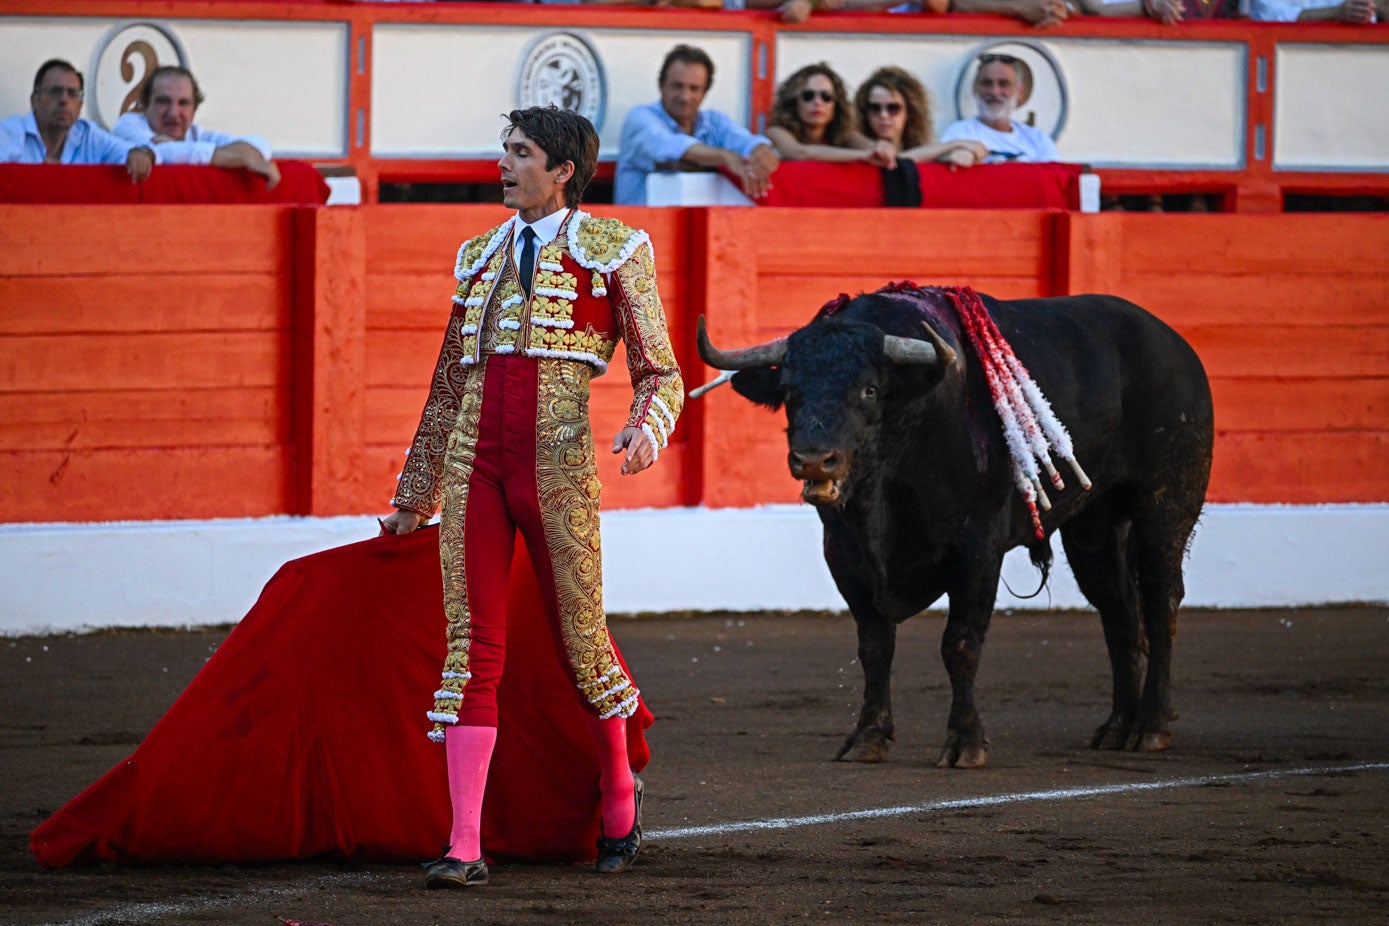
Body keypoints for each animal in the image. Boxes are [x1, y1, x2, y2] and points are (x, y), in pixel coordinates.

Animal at [700, 287, 1211, 766]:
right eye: (789, 390)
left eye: (869, 389)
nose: (812, 460)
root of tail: (1175, 344)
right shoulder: (844, 553)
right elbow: (874, 646)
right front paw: (868, 737)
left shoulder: (978, 548)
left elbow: (960, 644)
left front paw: (965, 743)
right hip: (1094, 527)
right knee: (1118, 613)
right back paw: (1116, 728)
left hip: (1165, 504)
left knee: (1161, 602)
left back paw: (1150, 727)